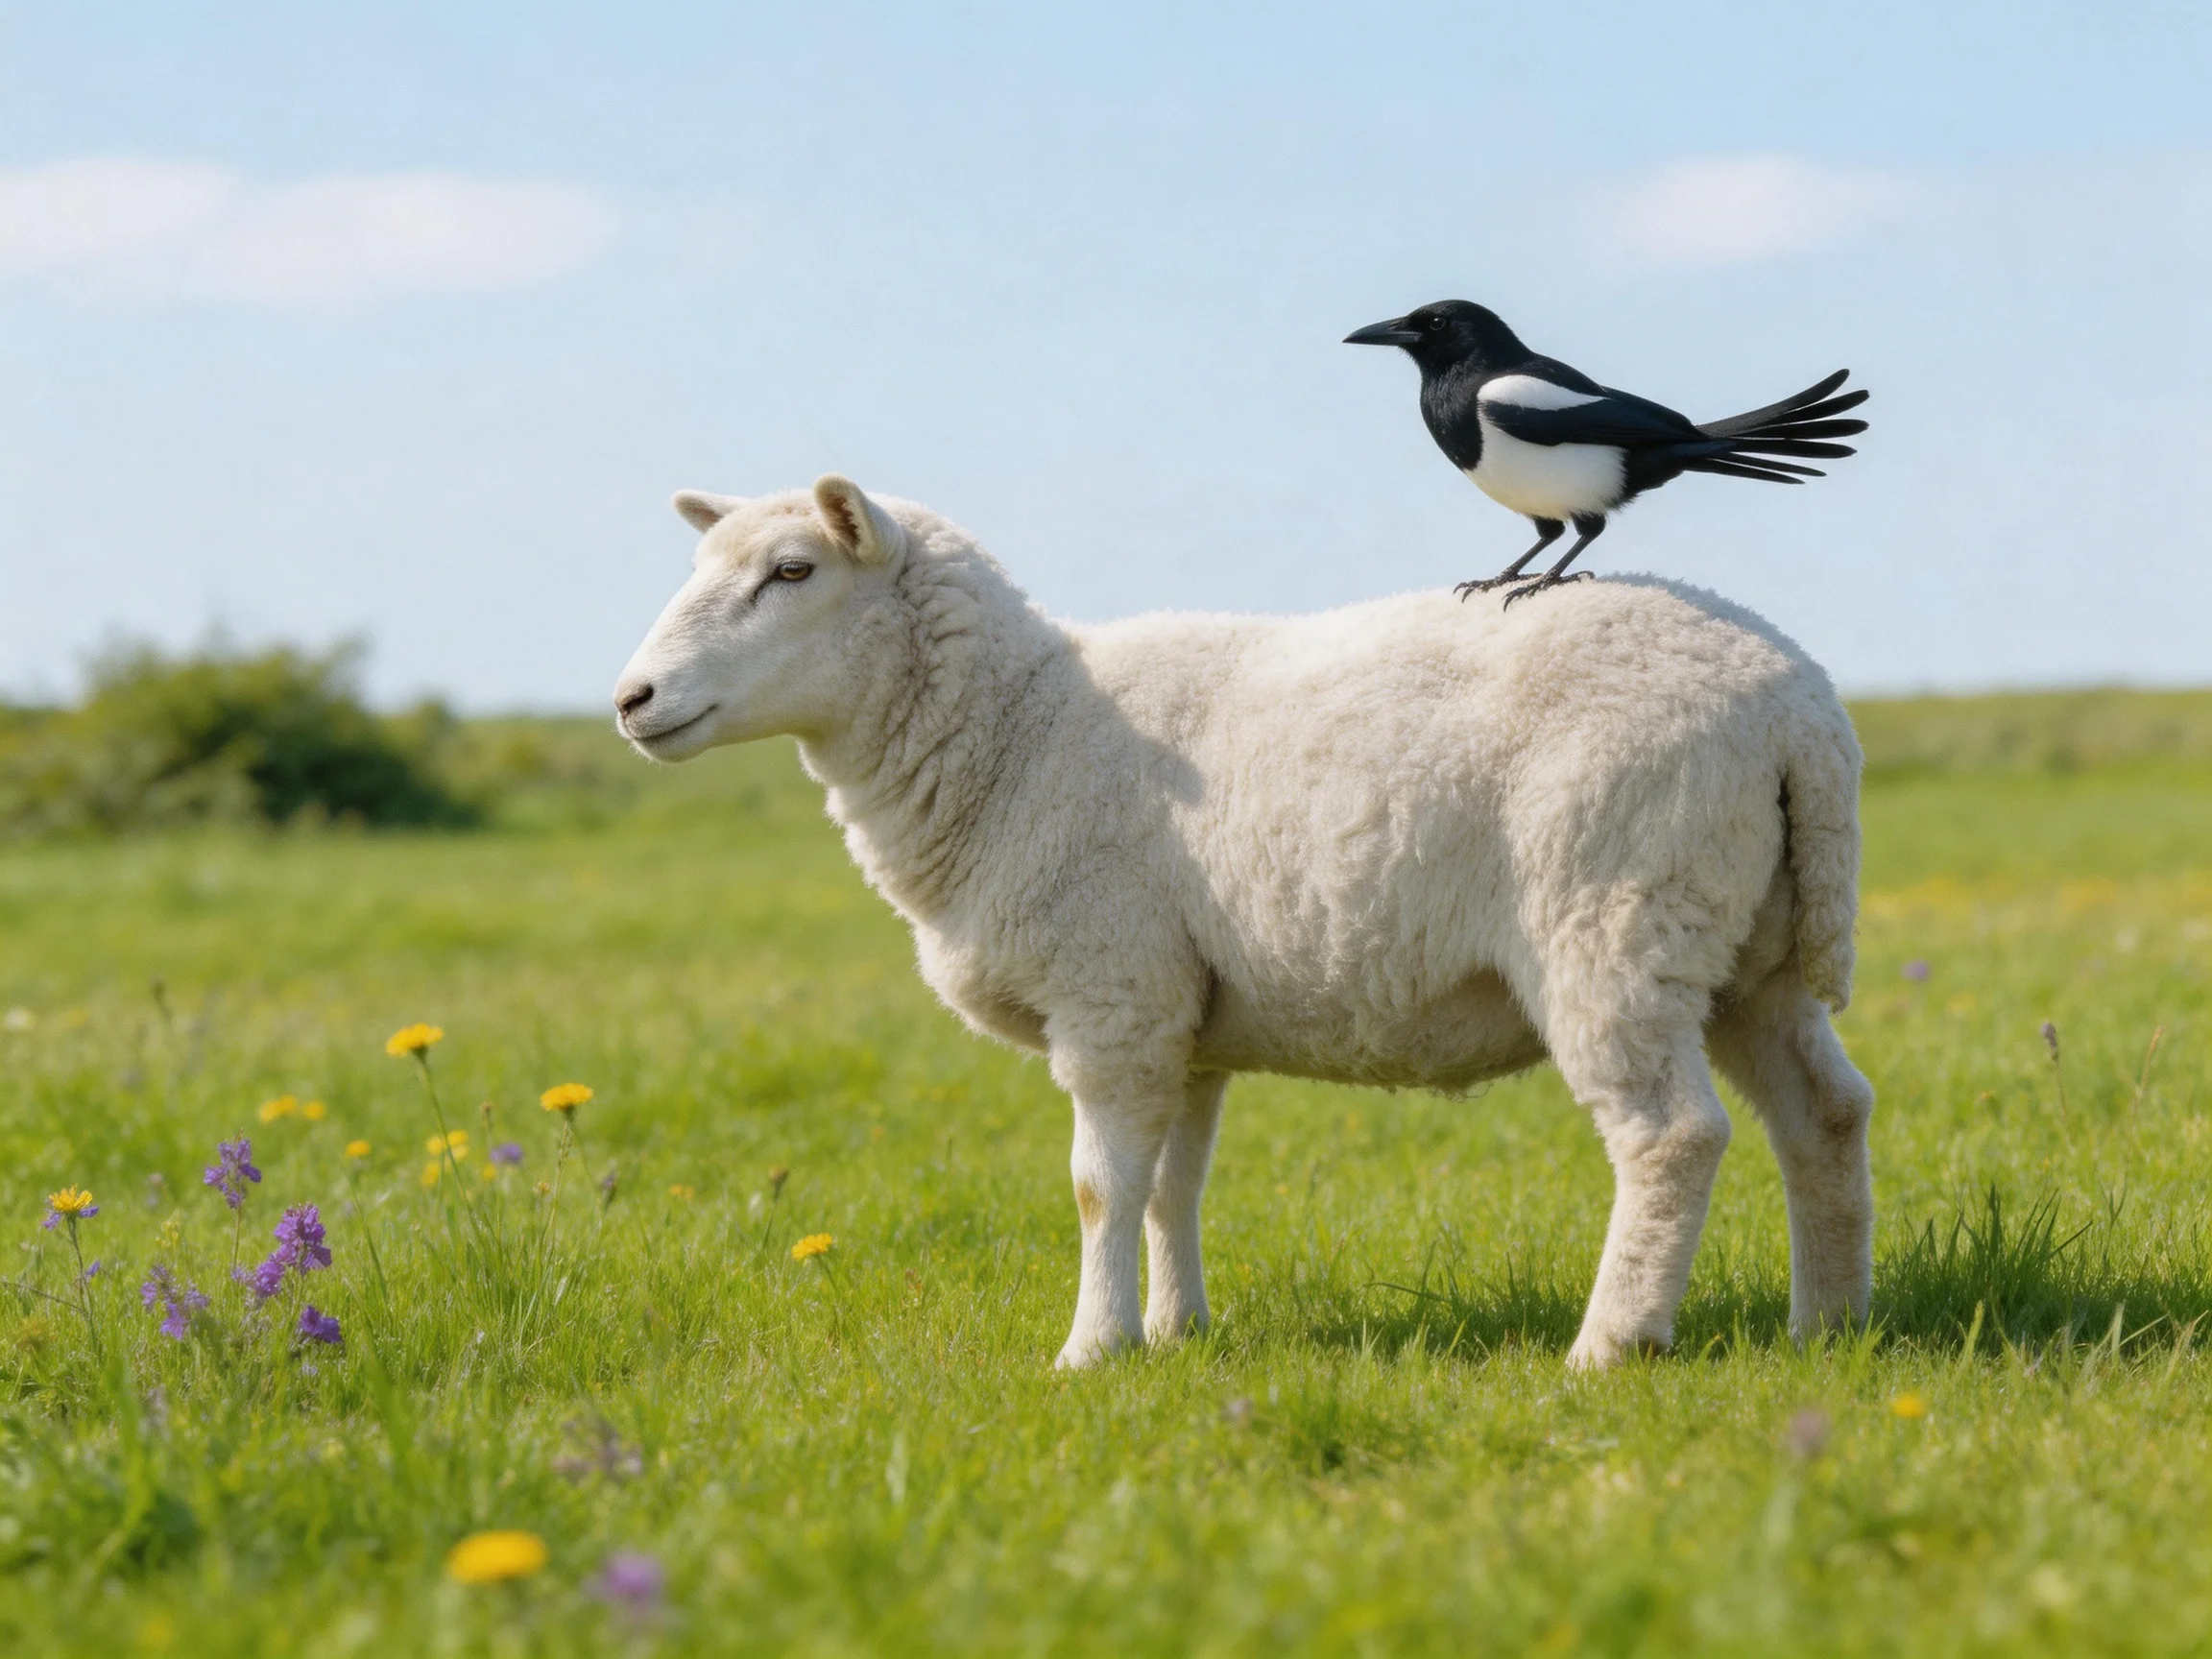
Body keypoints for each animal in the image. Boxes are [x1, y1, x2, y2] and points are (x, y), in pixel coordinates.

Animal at [615, 476, 1875, 1371]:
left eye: (791, 570)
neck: (1019, 730)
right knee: (1826, 1114)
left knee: (1672, 1137)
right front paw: (1176, 1333)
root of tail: (1797, 709)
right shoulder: (1182, 1016)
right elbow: (1173, 1187)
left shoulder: (1112, 992)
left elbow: (1099, 1187)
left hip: (1615, 917)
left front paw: (1090, 1351)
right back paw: (1829, 1325)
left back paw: (1611, 1345)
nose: (630, 700)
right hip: (1745, 949)